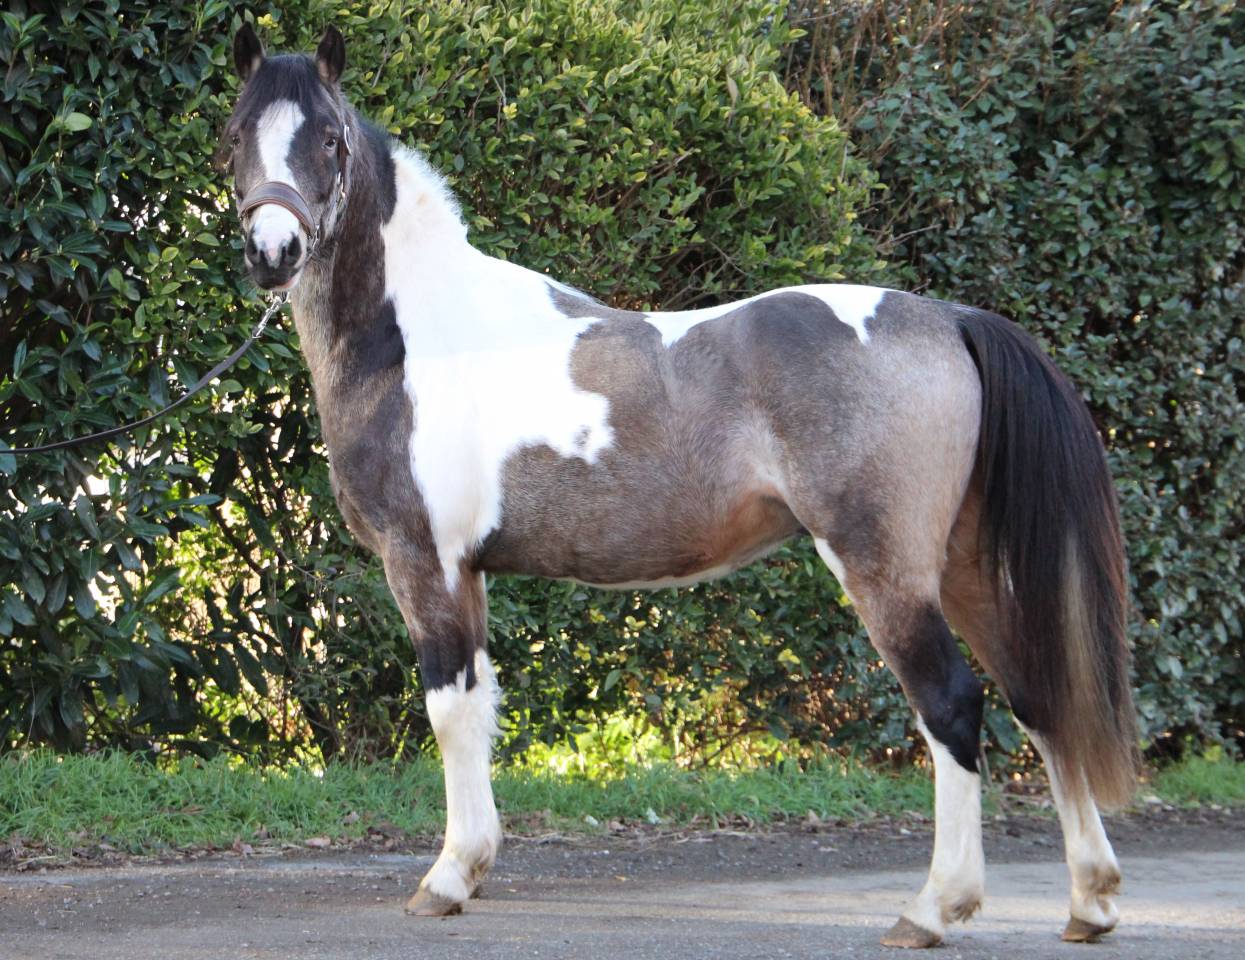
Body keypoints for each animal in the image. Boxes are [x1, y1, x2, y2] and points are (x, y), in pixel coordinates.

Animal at [217, 24, 1136, 947]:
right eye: (235, 135)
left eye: (329, 141)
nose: (272, 252)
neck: (420, 336)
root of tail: (949, 317)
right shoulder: (467, 572)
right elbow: (479, 710)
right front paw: (472, 867)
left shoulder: (424, 562)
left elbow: (449, 711)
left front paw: (446, 879)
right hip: (967, 567)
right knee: (1036, 697)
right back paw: (1088, 900)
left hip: (886, 570)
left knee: (949, 704)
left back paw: (934, 908)